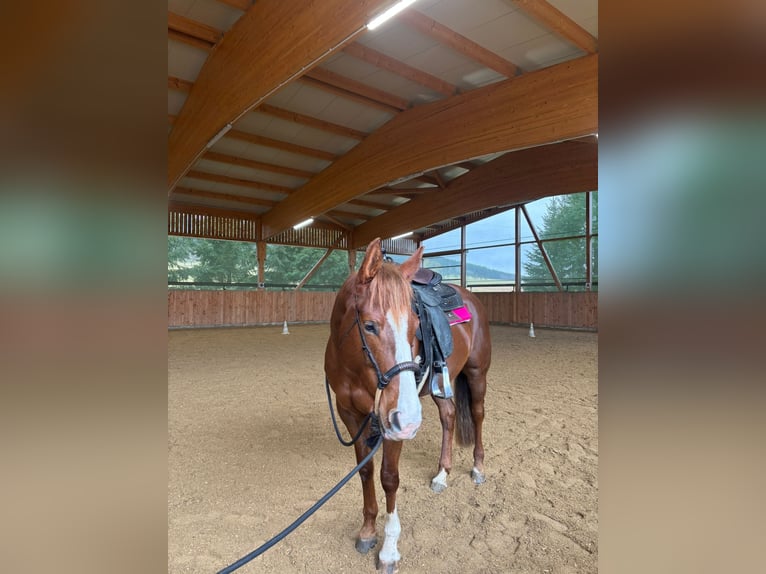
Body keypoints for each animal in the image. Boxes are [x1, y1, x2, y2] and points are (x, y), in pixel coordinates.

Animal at [324, 237, 492, 573]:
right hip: (442, 384)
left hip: (476, 373)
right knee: (449, 416)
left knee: (478, 414)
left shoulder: (393, 423)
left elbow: (389, 478)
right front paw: (367, 531)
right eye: (370, 326)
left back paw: (478, 467)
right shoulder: (350, 414)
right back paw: (442, 474)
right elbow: (365, 472)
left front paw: (389, 550)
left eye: (416, 325)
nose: (411, 420)